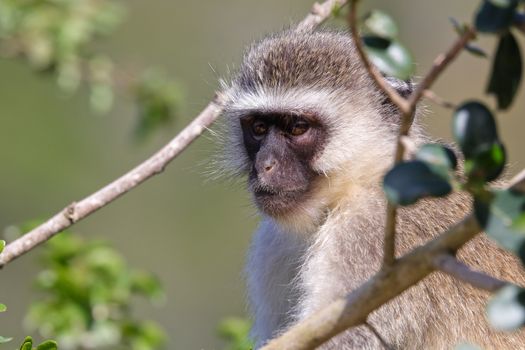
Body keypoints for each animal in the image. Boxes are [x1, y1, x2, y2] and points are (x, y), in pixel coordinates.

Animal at [220, 30, 524, 350]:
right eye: (259, 128)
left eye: (297, 127)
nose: (264, 165)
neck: (363, 180)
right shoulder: (272, 247)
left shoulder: (370, 235)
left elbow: (348, 338)